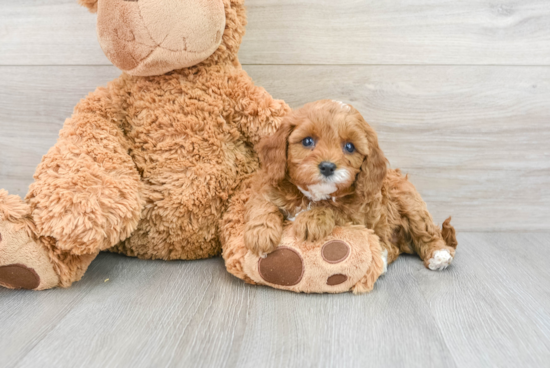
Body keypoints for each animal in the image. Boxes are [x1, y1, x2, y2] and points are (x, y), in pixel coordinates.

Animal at [245, 99, 458, 272]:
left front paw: (311, 219)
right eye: (307, 141)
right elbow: (263, 204)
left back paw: (438, 255)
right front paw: (260, 233)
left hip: (410, 203)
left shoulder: (359, 215)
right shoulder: (269, 186)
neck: (314, 195)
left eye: (349, 147)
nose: (327, 167)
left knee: (426, 232)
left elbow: (335, 209)